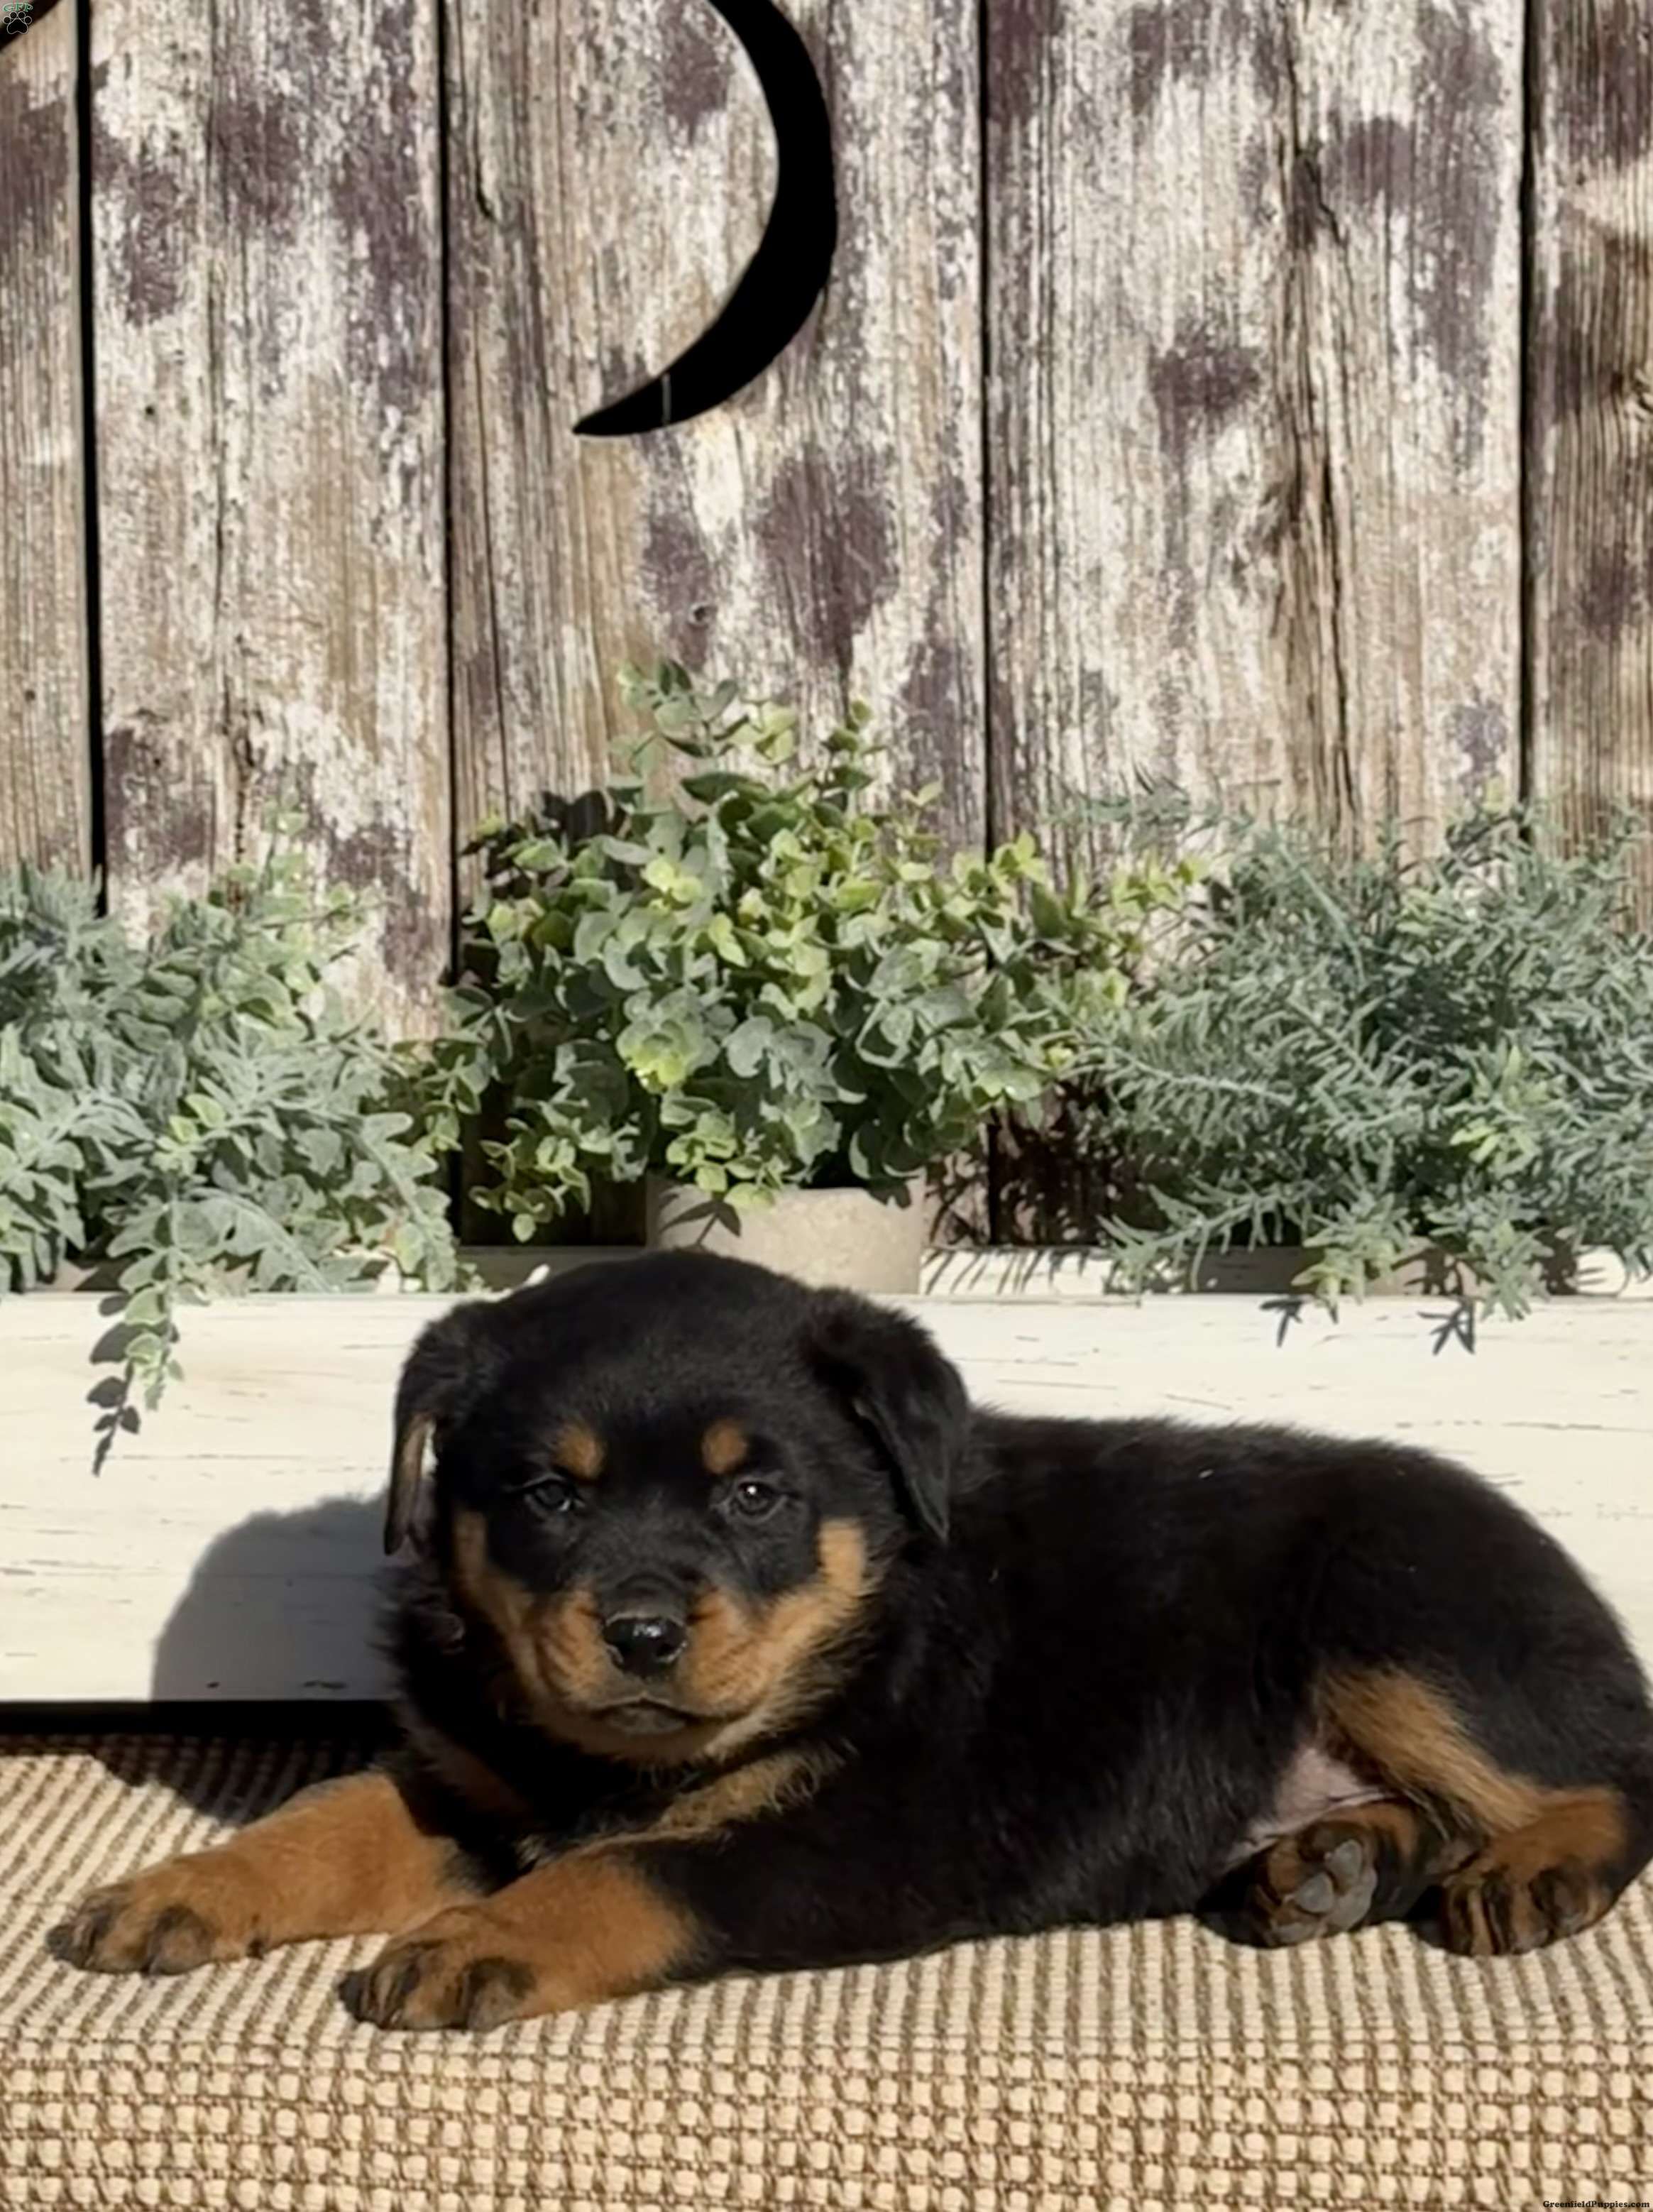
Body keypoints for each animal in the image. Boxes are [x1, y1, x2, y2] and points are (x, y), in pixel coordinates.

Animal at [55, 1252, 1653, 2030]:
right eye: (547, 1496)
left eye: (754, 1492)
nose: (640, 1631)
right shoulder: (474, 1780)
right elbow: (327, 1814)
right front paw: (175, 1889)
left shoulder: (856, 1832)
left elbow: (634, 1870)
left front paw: (486, 1939)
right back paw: (1334, 1861)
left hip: (1396, 1607)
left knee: (1598, 1778)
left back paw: (1525, 1872)